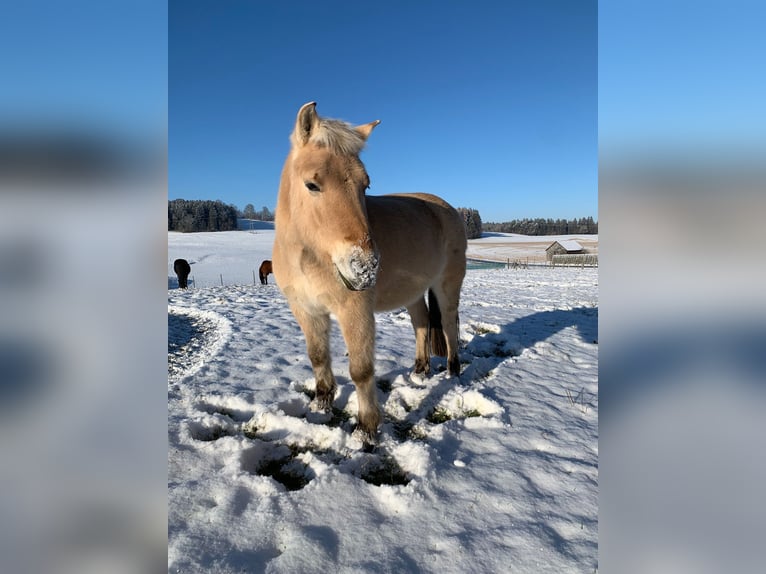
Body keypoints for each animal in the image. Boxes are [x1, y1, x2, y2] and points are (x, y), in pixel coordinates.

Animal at [272, 104, 472, 446]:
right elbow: (318, 357)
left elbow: (361, 370)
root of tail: (447, 208)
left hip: (447, 287)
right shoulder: (306, 310)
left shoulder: (355, 312)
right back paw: (420, 370)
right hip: (414, 292)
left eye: (365, 185)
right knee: (421, 323)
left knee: (447, 326)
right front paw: (321, 406)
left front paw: (365, 431)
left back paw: (452, 372)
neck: (310, 258)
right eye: (312, 184)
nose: (364, 266)